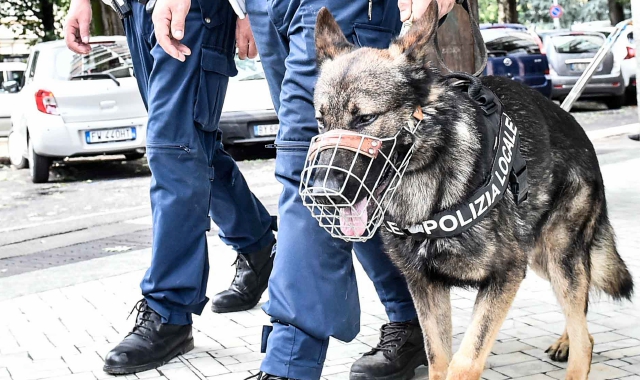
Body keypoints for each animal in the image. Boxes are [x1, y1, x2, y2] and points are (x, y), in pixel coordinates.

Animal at [312, 2, 636, 378]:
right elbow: (438, 359)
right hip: (541, 257)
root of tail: (577, 127)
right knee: (581, 320)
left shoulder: (505, 276)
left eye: (365, 119)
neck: (430, 182)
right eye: (321, 122)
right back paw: (565, 340)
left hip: (558, 257)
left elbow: (464, 361)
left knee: (585, 338)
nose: (321, 192)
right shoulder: (426, 286)